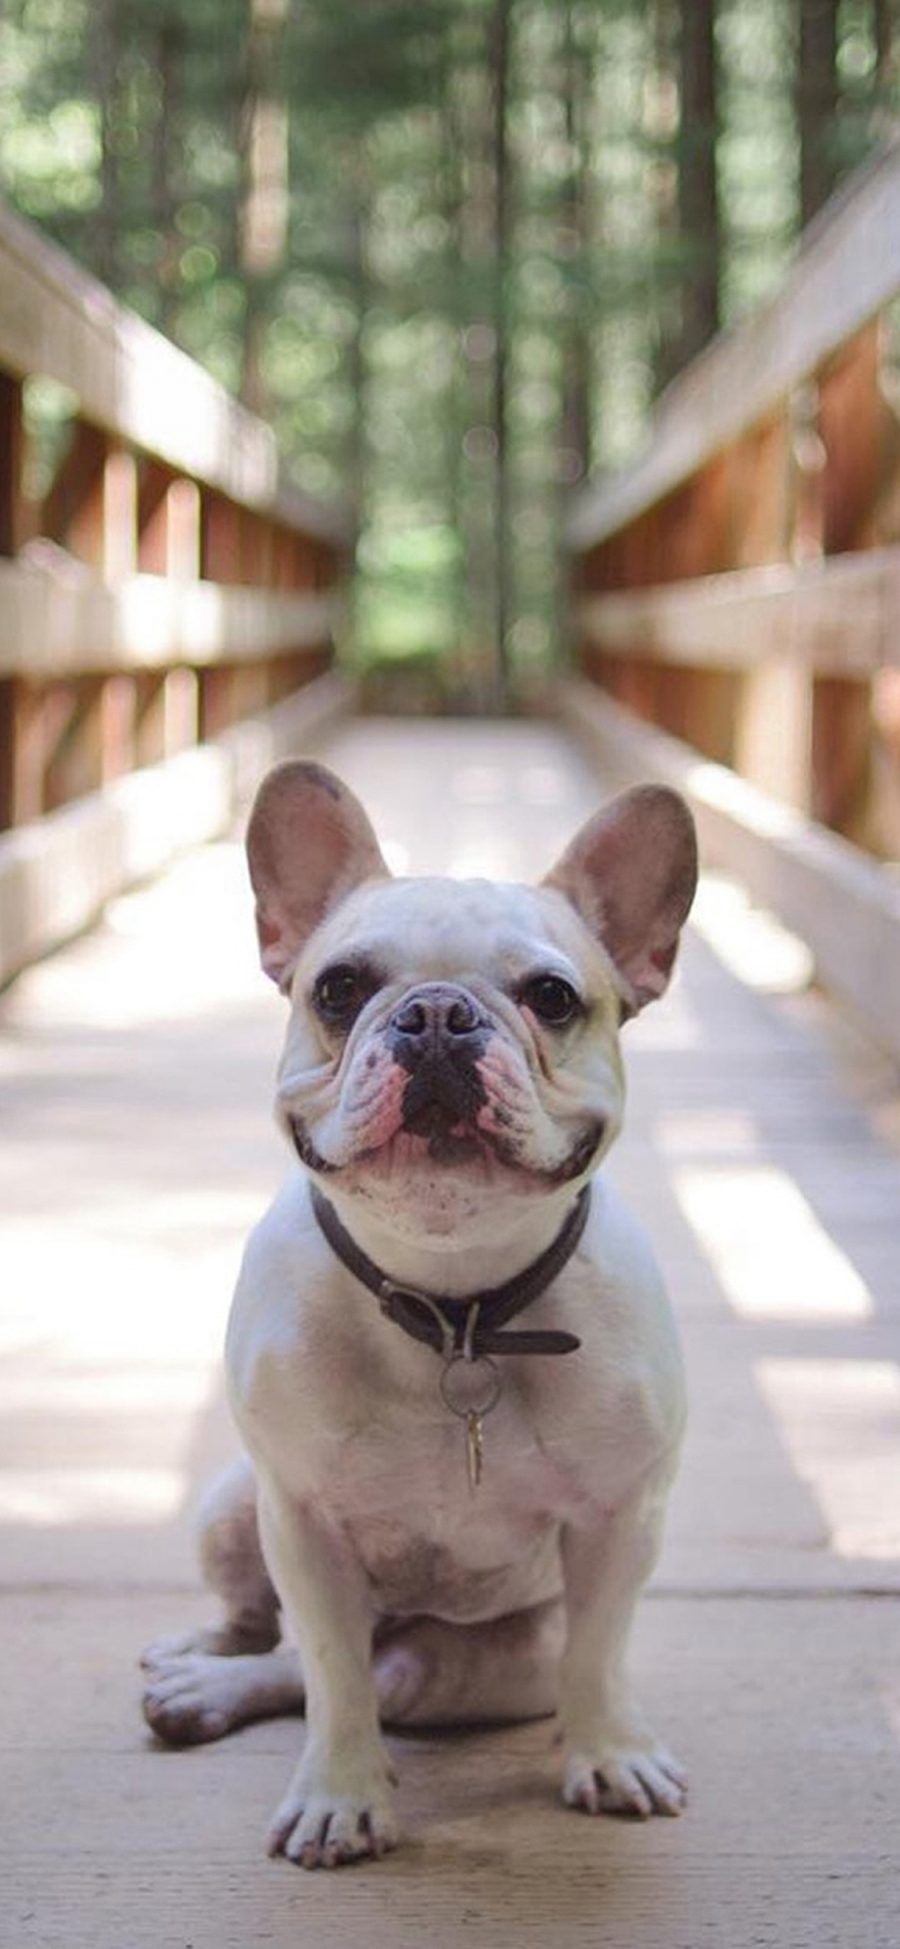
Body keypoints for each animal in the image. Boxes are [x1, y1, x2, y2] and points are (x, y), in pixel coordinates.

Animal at [144, 756, 701, 1871]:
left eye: (551, 997)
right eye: (340, 987)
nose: (437, 1012)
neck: (456, 1306)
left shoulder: (622, 1520)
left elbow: (600, 1651)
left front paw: (610, 1750)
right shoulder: (300, 1522)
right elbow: (332, 1671)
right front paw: (340, 1793)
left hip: (489, 1663)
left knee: (391, 1671)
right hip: (231, 1504)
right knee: (287, 1644)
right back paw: (203, 1666)